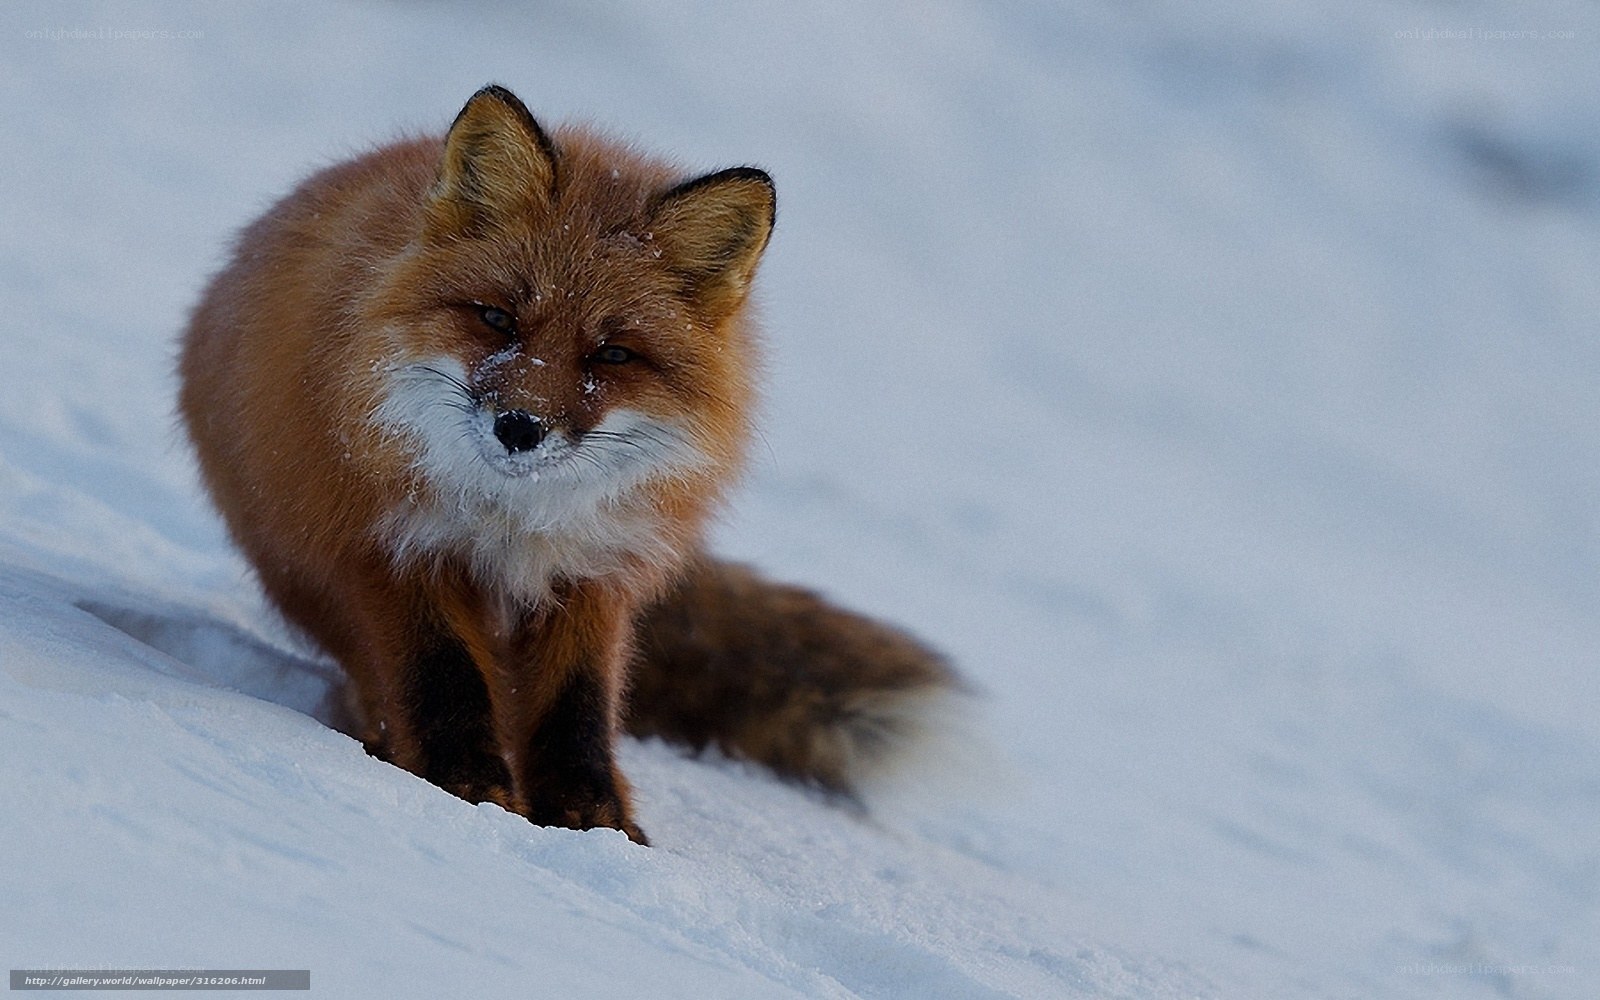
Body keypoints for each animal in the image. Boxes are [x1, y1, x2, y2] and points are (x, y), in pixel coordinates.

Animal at [179, 85, 956, 844]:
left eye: (611, 354)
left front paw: (590, 821)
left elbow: (573, 709)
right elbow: (442, 679)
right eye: (497, 318)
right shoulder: (391, 551)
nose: (518, 428)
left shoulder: (594, 576)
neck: (514, 523)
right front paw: (467, 788)